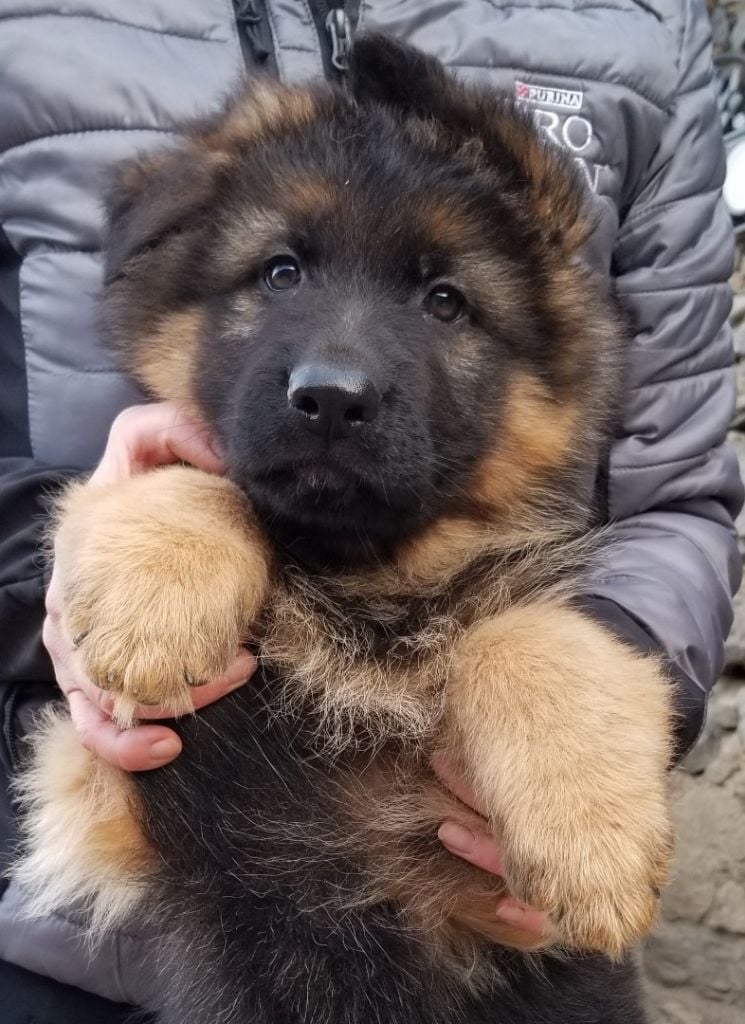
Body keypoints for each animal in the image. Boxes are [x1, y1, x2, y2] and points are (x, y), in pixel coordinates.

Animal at [15, 34, 671, 1024]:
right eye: (280, 272)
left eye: (445, 301)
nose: (329, 398)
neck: (361, 578)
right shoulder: (96, 781)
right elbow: (190, 476)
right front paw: (152, 601)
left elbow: (537, 636)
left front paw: (591, 838)